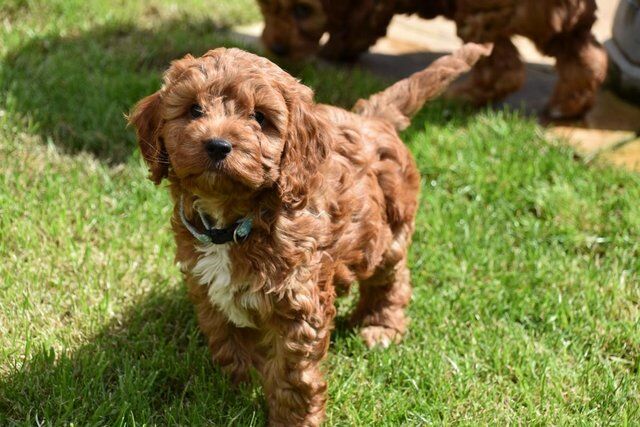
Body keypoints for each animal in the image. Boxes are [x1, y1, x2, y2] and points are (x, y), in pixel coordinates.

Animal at [129, 42, 490, 424]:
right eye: (194, 109)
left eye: (259, 117)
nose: (217, 145)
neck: (237, 221)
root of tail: (373, 119)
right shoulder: (207, 291)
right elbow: (228, 345)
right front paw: (231, 391)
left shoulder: (297, 304)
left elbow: (292, 376)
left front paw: (292, 420)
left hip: (390, 230)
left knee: (392, 279)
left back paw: (380, 327)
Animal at [258, 0, 608, 118]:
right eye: (266, 8)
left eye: (303, 10)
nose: (277, 48)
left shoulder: (370, 7)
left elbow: (358, 24)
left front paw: (336, 48)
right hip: (569, 24)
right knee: (590, 58)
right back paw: (568, 105)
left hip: (481, 18)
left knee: (504, 68)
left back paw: (461, 97)